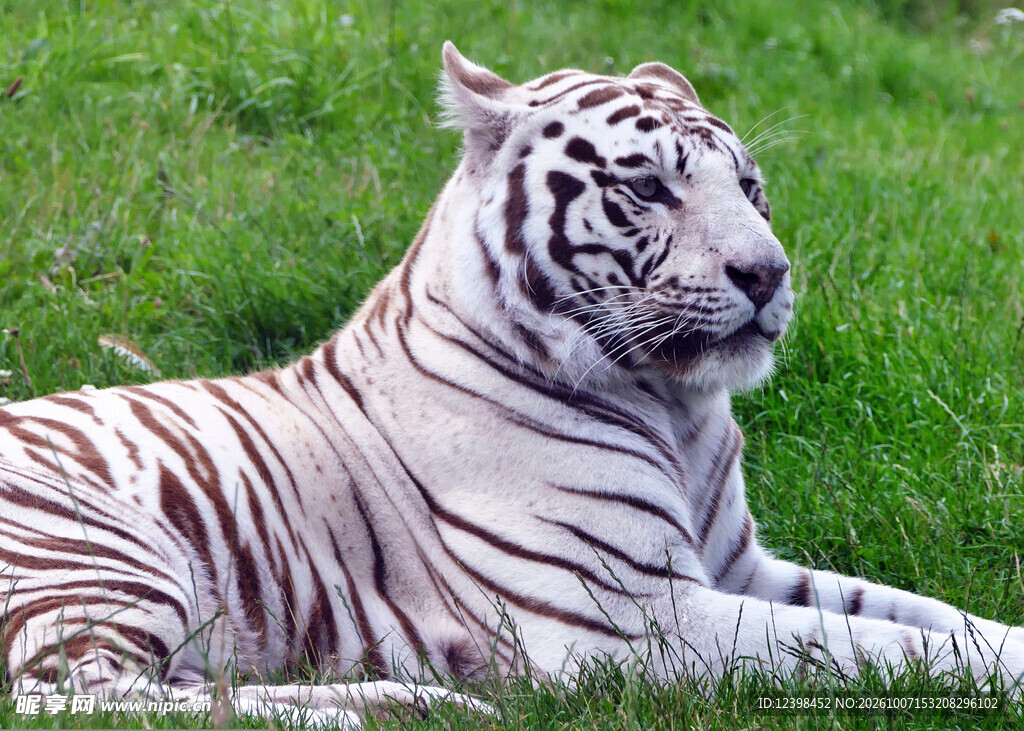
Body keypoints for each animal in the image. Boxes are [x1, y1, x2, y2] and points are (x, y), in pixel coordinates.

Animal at [2, 42, 1023, 726]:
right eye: (647, 188)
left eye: (750, 186)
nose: (768, 274)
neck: (678, 407)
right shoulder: (640, 618)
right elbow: (880, 648)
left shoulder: (741, 568)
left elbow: (929, 616)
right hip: (105, 552)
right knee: (81, 695)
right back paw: (404, 703)